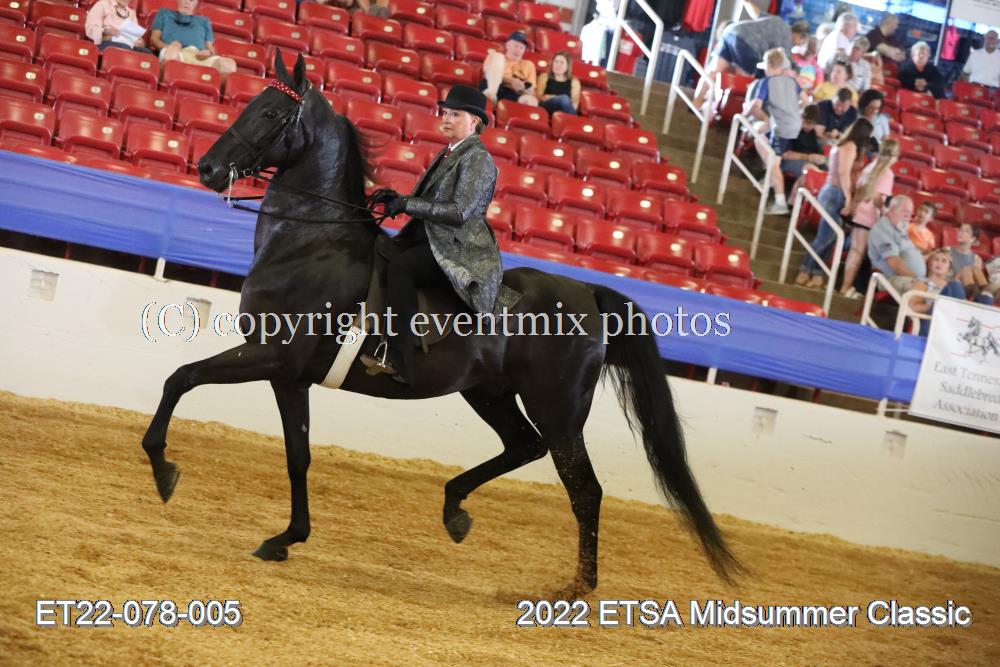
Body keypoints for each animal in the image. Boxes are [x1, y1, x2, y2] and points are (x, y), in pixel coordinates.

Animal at [142, 51, 741, 595]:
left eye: (269, 112)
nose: (208, 169)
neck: (309, 242)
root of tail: (586, 293)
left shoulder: (273, 357)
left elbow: (181, 377)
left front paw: (164, 472)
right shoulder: (289, 377)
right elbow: (298, 456)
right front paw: (287, 538)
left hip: (560, 411)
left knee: (584, 488)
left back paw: (576, 588)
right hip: (489, 393)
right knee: (523, 448)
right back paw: (455, 510)